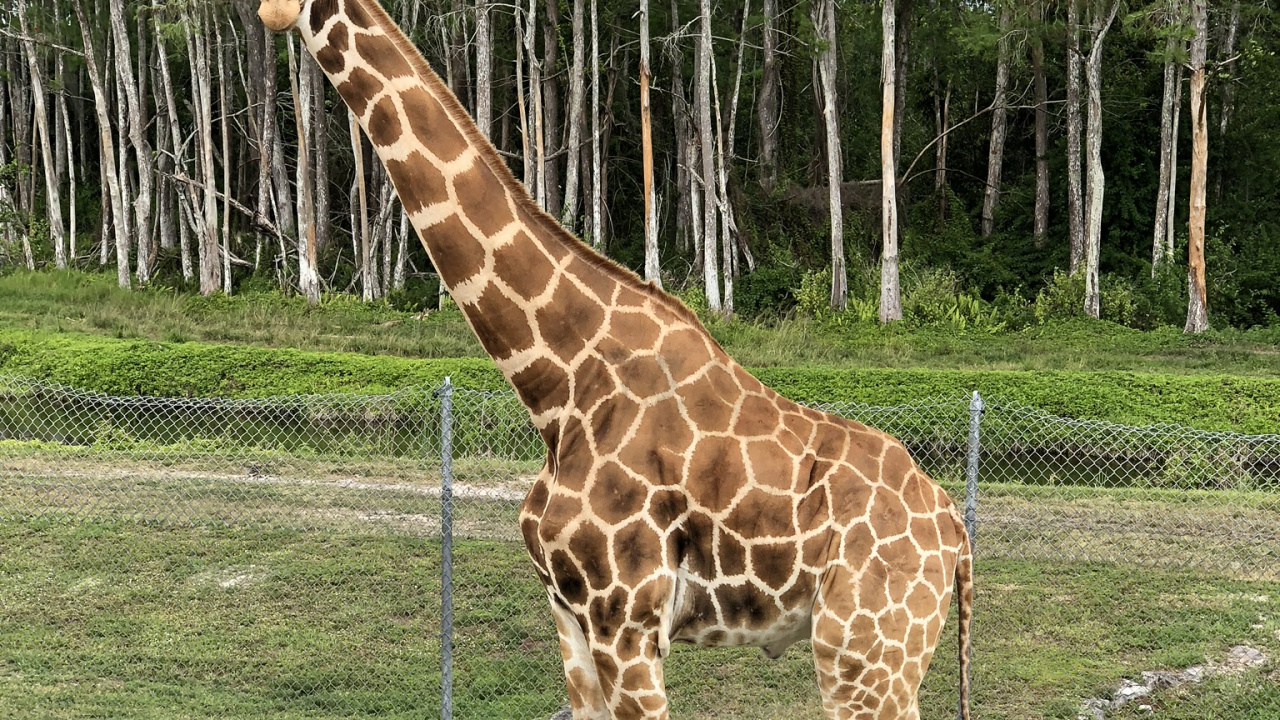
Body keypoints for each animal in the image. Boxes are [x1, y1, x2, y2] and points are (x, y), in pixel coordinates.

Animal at [257, 2, 973, 718]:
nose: (266, 16)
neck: (556, 383)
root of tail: (957, 536)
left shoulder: (624, 618)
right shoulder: (569, 615)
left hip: (865, 649)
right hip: (882, 652)